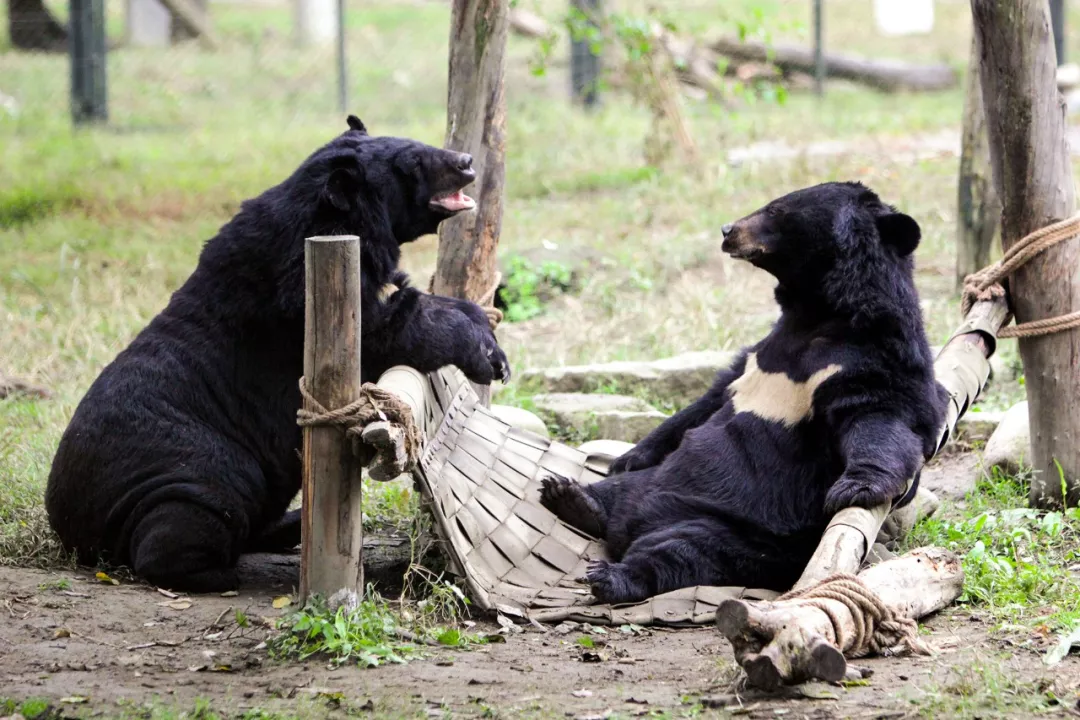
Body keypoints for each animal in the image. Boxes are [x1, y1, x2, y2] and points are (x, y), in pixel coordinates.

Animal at [46, 117, 509, 591]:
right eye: (413, 163)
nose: (465, 162)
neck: (331, 220)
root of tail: (74, 529)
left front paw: (483, 322)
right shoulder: (295, 300)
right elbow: (388, 328)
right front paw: (490, 358)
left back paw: (290, 526)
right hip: (186, 473)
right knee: (185, 524)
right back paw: (223, 572)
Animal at [540, 180, 946, 604]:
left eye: (777, 210)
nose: (726, 230)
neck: (816, 314)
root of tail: (632, 524)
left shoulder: (871, 360)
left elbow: (878, 418)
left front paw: (855, 488)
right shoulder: (756, 354)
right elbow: (706, 401)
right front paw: (627, 457)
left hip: (738, 529)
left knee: (680, 552)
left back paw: (611, 574)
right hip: (654, 484)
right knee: (616, 490)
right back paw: (572, 496)